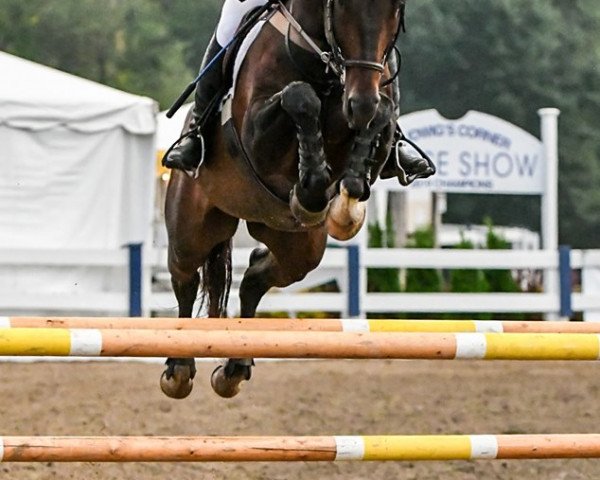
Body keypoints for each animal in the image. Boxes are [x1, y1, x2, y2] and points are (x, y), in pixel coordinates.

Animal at [164, 0, 406, 398]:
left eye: (396, 10)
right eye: (342, 6)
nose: (360, 104)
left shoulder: (371, 102)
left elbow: (383, 112)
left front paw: (346, 199)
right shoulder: (257, 135)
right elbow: (299, 96)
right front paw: (311, 188)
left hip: (298, 246)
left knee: (255, 276)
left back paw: (235, 367)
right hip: (191, 228)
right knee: (186, 277)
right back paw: (179, 368)